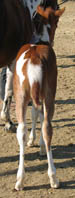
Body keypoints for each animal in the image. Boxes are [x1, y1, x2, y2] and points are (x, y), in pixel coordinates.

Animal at [13, 5, 64, 190]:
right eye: (57, 22)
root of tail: (34, 61)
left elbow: (35, 114)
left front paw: (33, 141)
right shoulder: (43, 93)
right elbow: (39, 116)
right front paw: (40, 145)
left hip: (20, 94)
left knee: (21, 129)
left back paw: (20, 180)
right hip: (49, 93)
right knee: (47, 126)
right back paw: (53, 178)